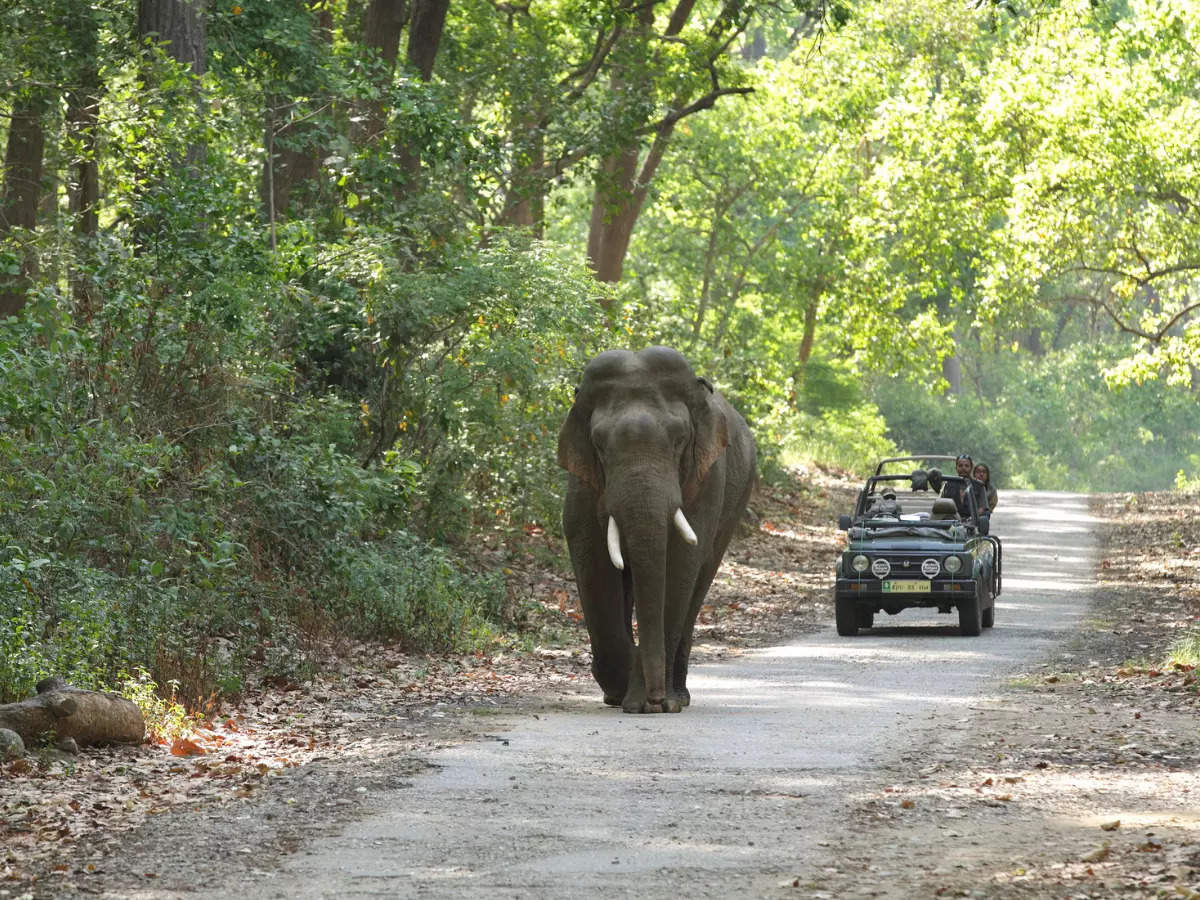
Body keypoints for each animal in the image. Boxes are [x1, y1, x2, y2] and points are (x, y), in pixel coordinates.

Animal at [556, 348, 753, 715]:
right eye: (599, 445)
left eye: (679, 440)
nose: (656, 698)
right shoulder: (582, 482)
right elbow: (593, 560)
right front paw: (626, 694)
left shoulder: (707, 479)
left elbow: (680, 562)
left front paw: (649, 703)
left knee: (698, 583)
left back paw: (680, 696)